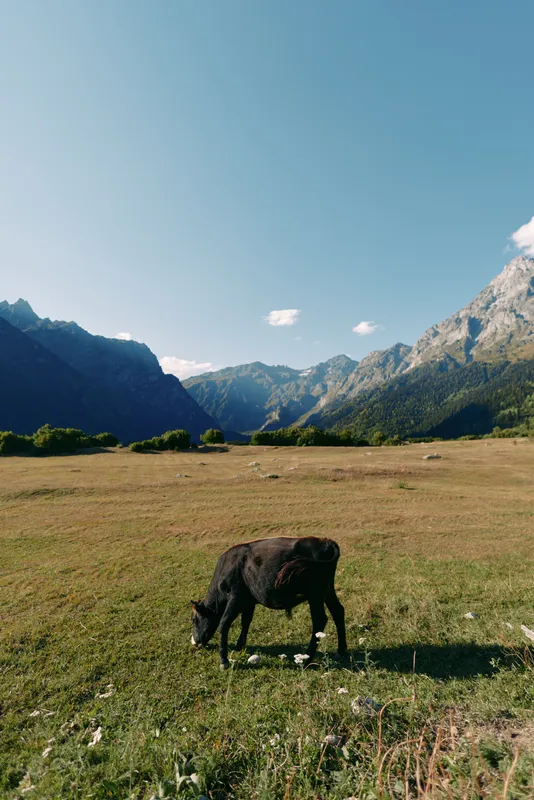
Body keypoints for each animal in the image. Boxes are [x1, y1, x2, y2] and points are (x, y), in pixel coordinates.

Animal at [190, 536, 347, 669]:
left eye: (193, 619)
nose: (195, 642)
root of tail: (326, 541)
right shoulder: (249, 601)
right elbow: (246, 621)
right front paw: (239, 646)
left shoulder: (236, 598)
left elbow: (224, 623)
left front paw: (224, 660)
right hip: (327, 591)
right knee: (338, 612)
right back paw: (341, 652)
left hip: (315, 595)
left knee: (319, 620)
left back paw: (307, 658)